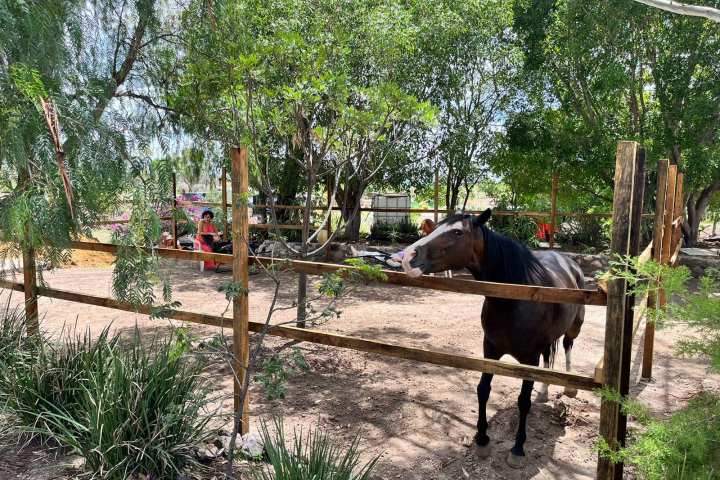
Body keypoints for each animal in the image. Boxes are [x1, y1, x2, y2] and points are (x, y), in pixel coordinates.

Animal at [394, 209, 584, 468]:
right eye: (434, 227)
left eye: (457, 232)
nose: (408, 257)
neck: (515, 299)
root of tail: (570, 262)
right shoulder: (490, 349)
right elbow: (483, 390)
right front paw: (482, 439)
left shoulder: (529, 359)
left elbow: (523, 400)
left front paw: (518, 448)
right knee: (549, 358)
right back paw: (544, 392)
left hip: (574, 327)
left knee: (567, 346)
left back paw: (569, 388)